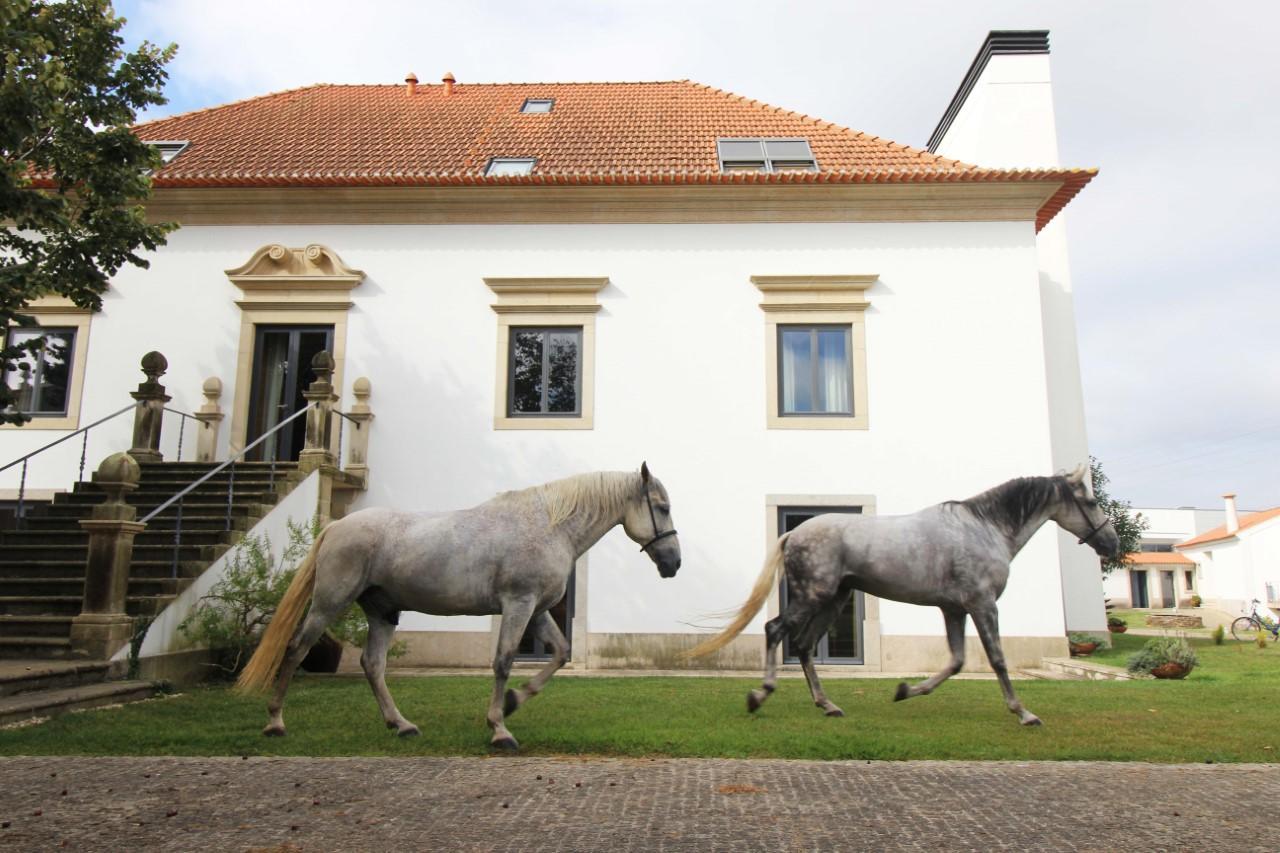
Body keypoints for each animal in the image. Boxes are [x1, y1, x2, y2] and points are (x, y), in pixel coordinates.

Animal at [240, 461, 680, 747]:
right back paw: (275, 723)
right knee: (296, 649)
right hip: (330, 602)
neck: (550, 525)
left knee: (373, 665)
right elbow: (503, 661)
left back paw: (401, 725)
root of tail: (335, 526)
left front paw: (514, 701)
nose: (674, 563)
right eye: (662, 507)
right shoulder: (519, 604)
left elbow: (559, 654)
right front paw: (500, 728)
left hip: (382, 612)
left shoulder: (537, 611)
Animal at [686, 466, 1116, 722]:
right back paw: (760, 696)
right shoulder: (983, 605)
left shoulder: (953, 610)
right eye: (1091, 501)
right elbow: (996, 659)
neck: (984, 528)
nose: (1110, 543)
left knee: (805, 646)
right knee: (776, 630)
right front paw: (1023, 712)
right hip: (814, 597)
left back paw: (828, 705)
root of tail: (793, 533)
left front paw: (905, 690)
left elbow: (956, 661)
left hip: (834, 600)